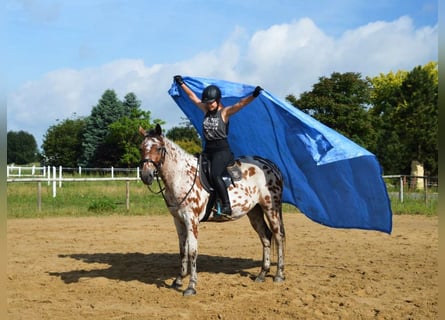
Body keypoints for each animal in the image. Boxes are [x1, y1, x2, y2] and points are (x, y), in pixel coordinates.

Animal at [139, 124, 284, 296]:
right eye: (141, 148)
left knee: (278, 237)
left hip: (271, 208)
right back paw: (262, 274)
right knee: (266, 237)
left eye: (159, 148)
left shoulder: (192, 220)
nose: (146, 176)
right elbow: (182, 250)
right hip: (254, 212)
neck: (182, 176)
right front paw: (179, 279)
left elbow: (192, 251)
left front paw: (191, 286)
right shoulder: (178, 220)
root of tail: (271, 166)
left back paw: (279, 275)